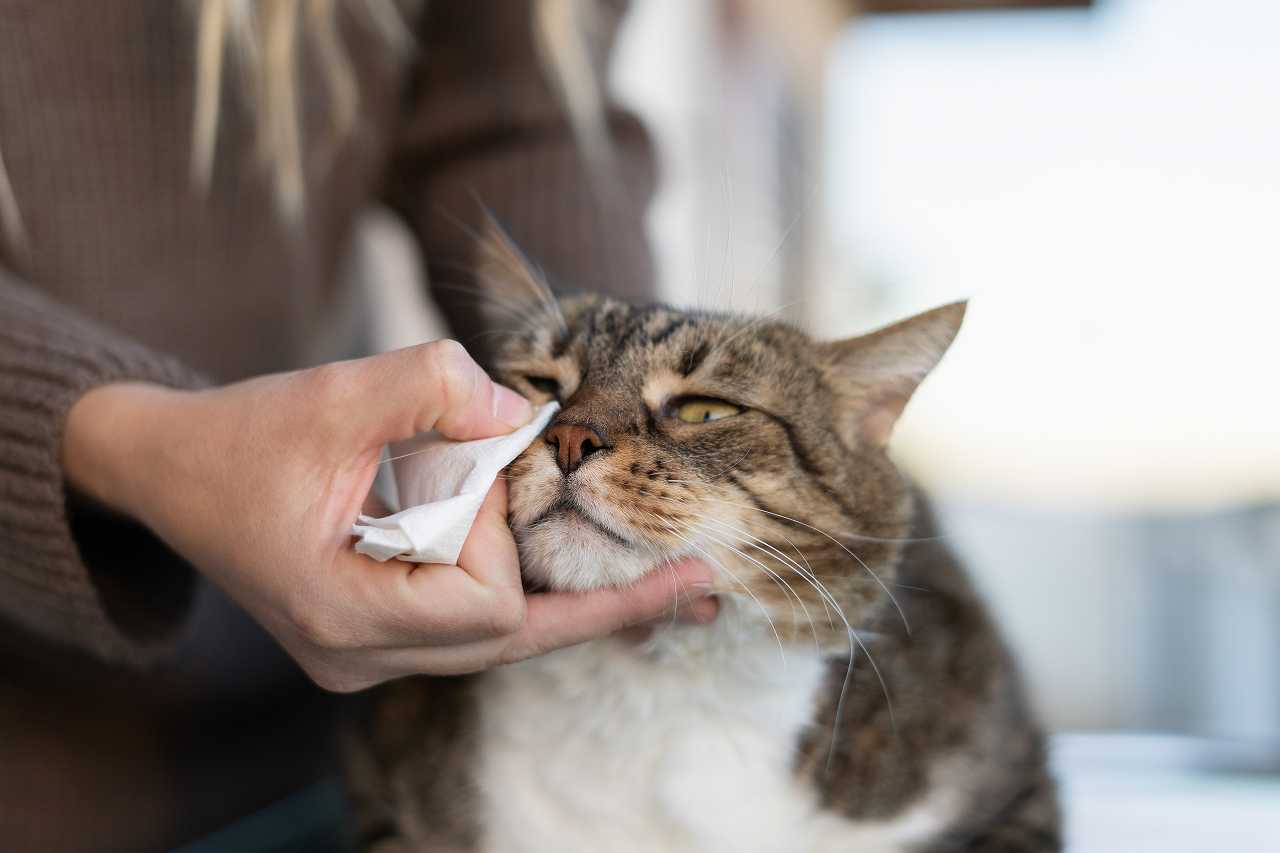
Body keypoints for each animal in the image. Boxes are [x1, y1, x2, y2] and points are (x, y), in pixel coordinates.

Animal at [343, 225, 1059, 850]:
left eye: (704, 409)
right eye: (539, 385)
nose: (569, 437)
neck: (651, 690)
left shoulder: (1010, 789)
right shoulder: (385, 797)